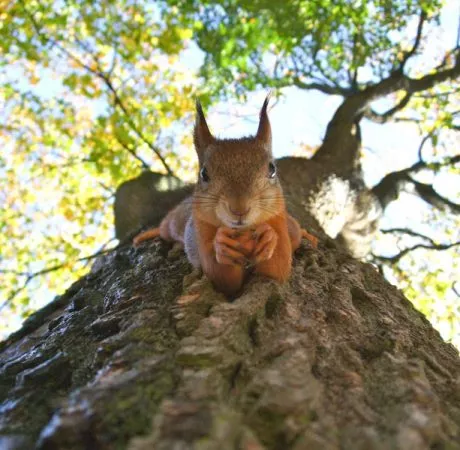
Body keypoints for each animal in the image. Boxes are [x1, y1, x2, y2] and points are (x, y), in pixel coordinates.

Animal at [135, 96, 318, 298]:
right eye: (204, 173)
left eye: (272, 169)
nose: (239, 209)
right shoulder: (201, 231)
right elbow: (222, 278)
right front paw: (221, 245)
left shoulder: (278, 221)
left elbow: (277, 268)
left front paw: (269, 237)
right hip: (173, 223)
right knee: (163, 228)